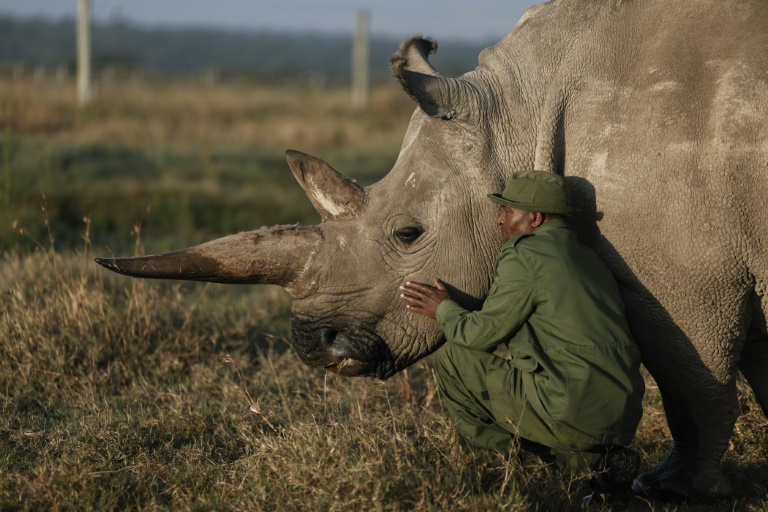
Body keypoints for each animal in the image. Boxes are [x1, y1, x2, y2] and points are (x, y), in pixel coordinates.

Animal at [96, 0, 768, 500]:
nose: (314, 346)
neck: (518, 110)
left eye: (408, 235)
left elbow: (690, 374)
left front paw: (672, 489)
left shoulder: (684, 273)